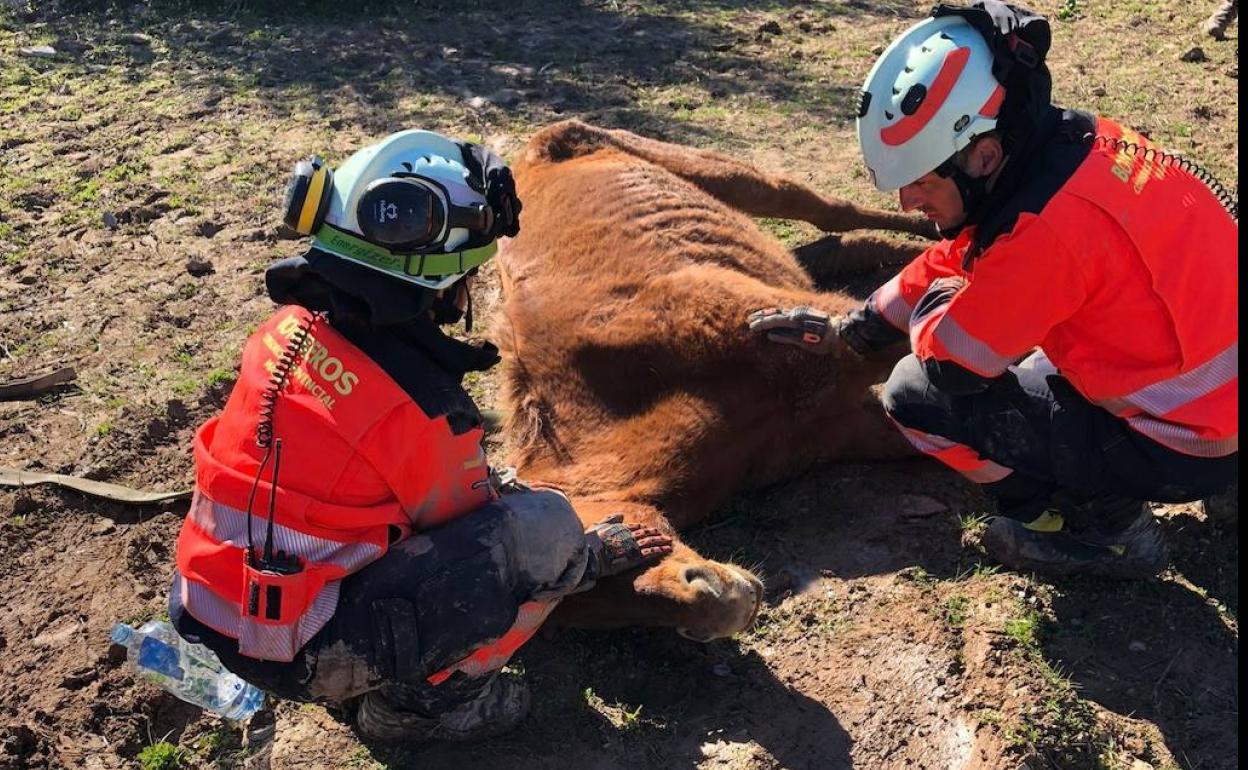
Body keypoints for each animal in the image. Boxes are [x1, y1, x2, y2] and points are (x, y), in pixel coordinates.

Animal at [491, 121, 933, 643]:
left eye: (579, 564)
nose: (723, 608)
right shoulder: (859, 422)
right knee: (847, 246)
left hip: (735, 180)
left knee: (828, 211)